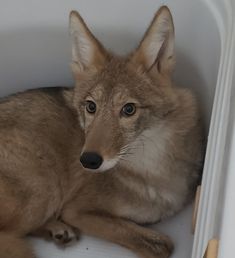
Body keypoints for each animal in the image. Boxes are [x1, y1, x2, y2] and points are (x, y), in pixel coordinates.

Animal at [0, 5, 204, 258]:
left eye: (128, 109)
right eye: (91, 107)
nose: (88, 160)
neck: (153, 167)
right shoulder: (77, 211)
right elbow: (162, 245)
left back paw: (57, 231)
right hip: (44, 188)